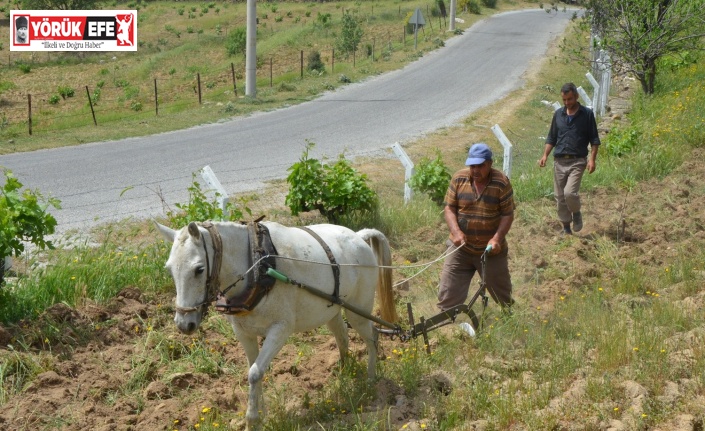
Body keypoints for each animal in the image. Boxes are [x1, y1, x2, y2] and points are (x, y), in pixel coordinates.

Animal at [155, 221, 396, 430]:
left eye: (198, 269)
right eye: (169, 269)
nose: (184, 324)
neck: (256, 267)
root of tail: (359, 236)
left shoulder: (280, 329)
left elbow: (254, 373)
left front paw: (252, 421)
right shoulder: (243, 332)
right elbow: (253, 370)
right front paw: (261, 413)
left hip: (358, 310)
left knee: (372, 335)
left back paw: (371, 380)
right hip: (331, 310)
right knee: (342, 335)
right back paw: (346, 374)